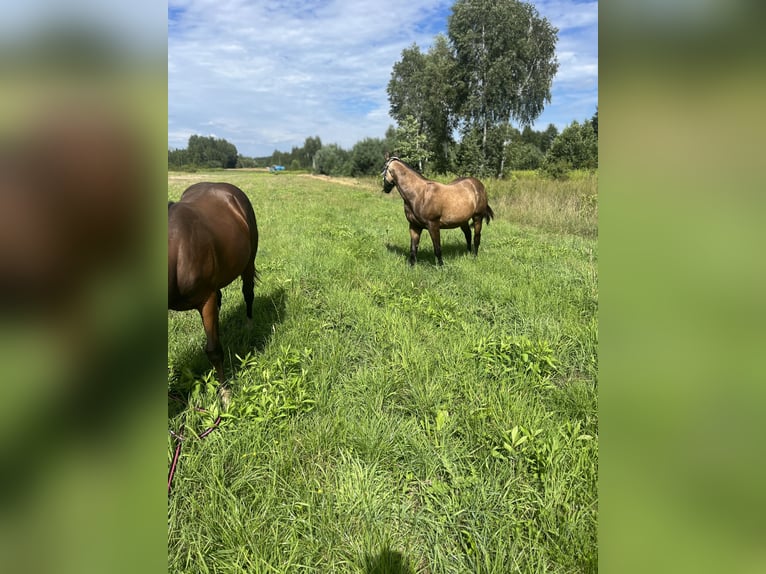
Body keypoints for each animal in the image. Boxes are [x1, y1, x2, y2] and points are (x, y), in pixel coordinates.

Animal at [168, 182, 258, 407]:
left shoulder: (205, 299)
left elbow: (214, 351)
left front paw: (226, 395)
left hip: (249, 262)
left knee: (248, 292)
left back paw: (249, 326)